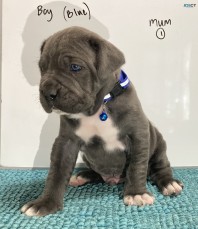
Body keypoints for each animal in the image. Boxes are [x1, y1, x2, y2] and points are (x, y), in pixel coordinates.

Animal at [20, 26, 183, 216]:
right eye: (42, 68)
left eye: (75, 67)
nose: (47, 92)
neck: (98, 107)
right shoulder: (66, 142)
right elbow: (56, 172)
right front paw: (45, 203)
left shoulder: (139, 135)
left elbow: (137, 166)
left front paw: (136, 193)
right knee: (96, 173)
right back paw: (82, 175)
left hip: (159, 144)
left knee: (160, 167)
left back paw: (169, 183)